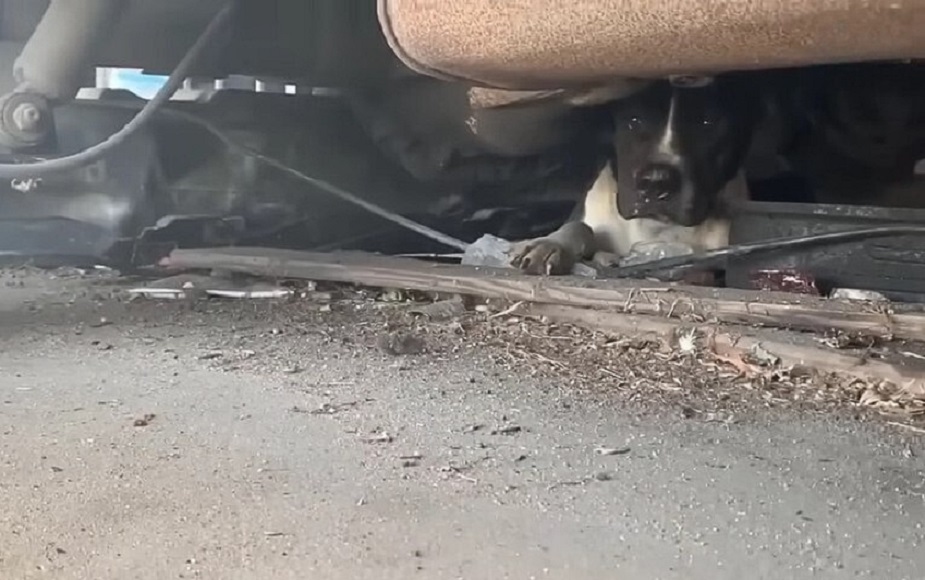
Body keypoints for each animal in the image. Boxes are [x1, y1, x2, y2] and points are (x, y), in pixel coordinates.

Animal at [508, 73, 760, 276]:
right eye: (634, 120)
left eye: (708, 122)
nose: (656, 182)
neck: (656, 229)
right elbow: (579, 226)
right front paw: (551, 245)